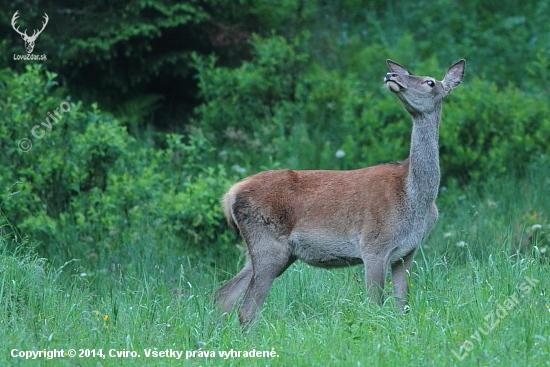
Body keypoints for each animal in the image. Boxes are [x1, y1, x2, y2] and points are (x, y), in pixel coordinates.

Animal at [216, 59, 466, 326]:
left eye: (430, 82)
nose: (391, 75)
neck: (415, 198)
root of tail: (230, 195)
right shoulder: (374, 245)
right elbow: (375, 304)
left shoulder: (407, 251)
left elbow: (403, 306)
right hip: (268, 244)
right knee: (247, 309)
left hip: (265, 252)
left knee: (224, 295)